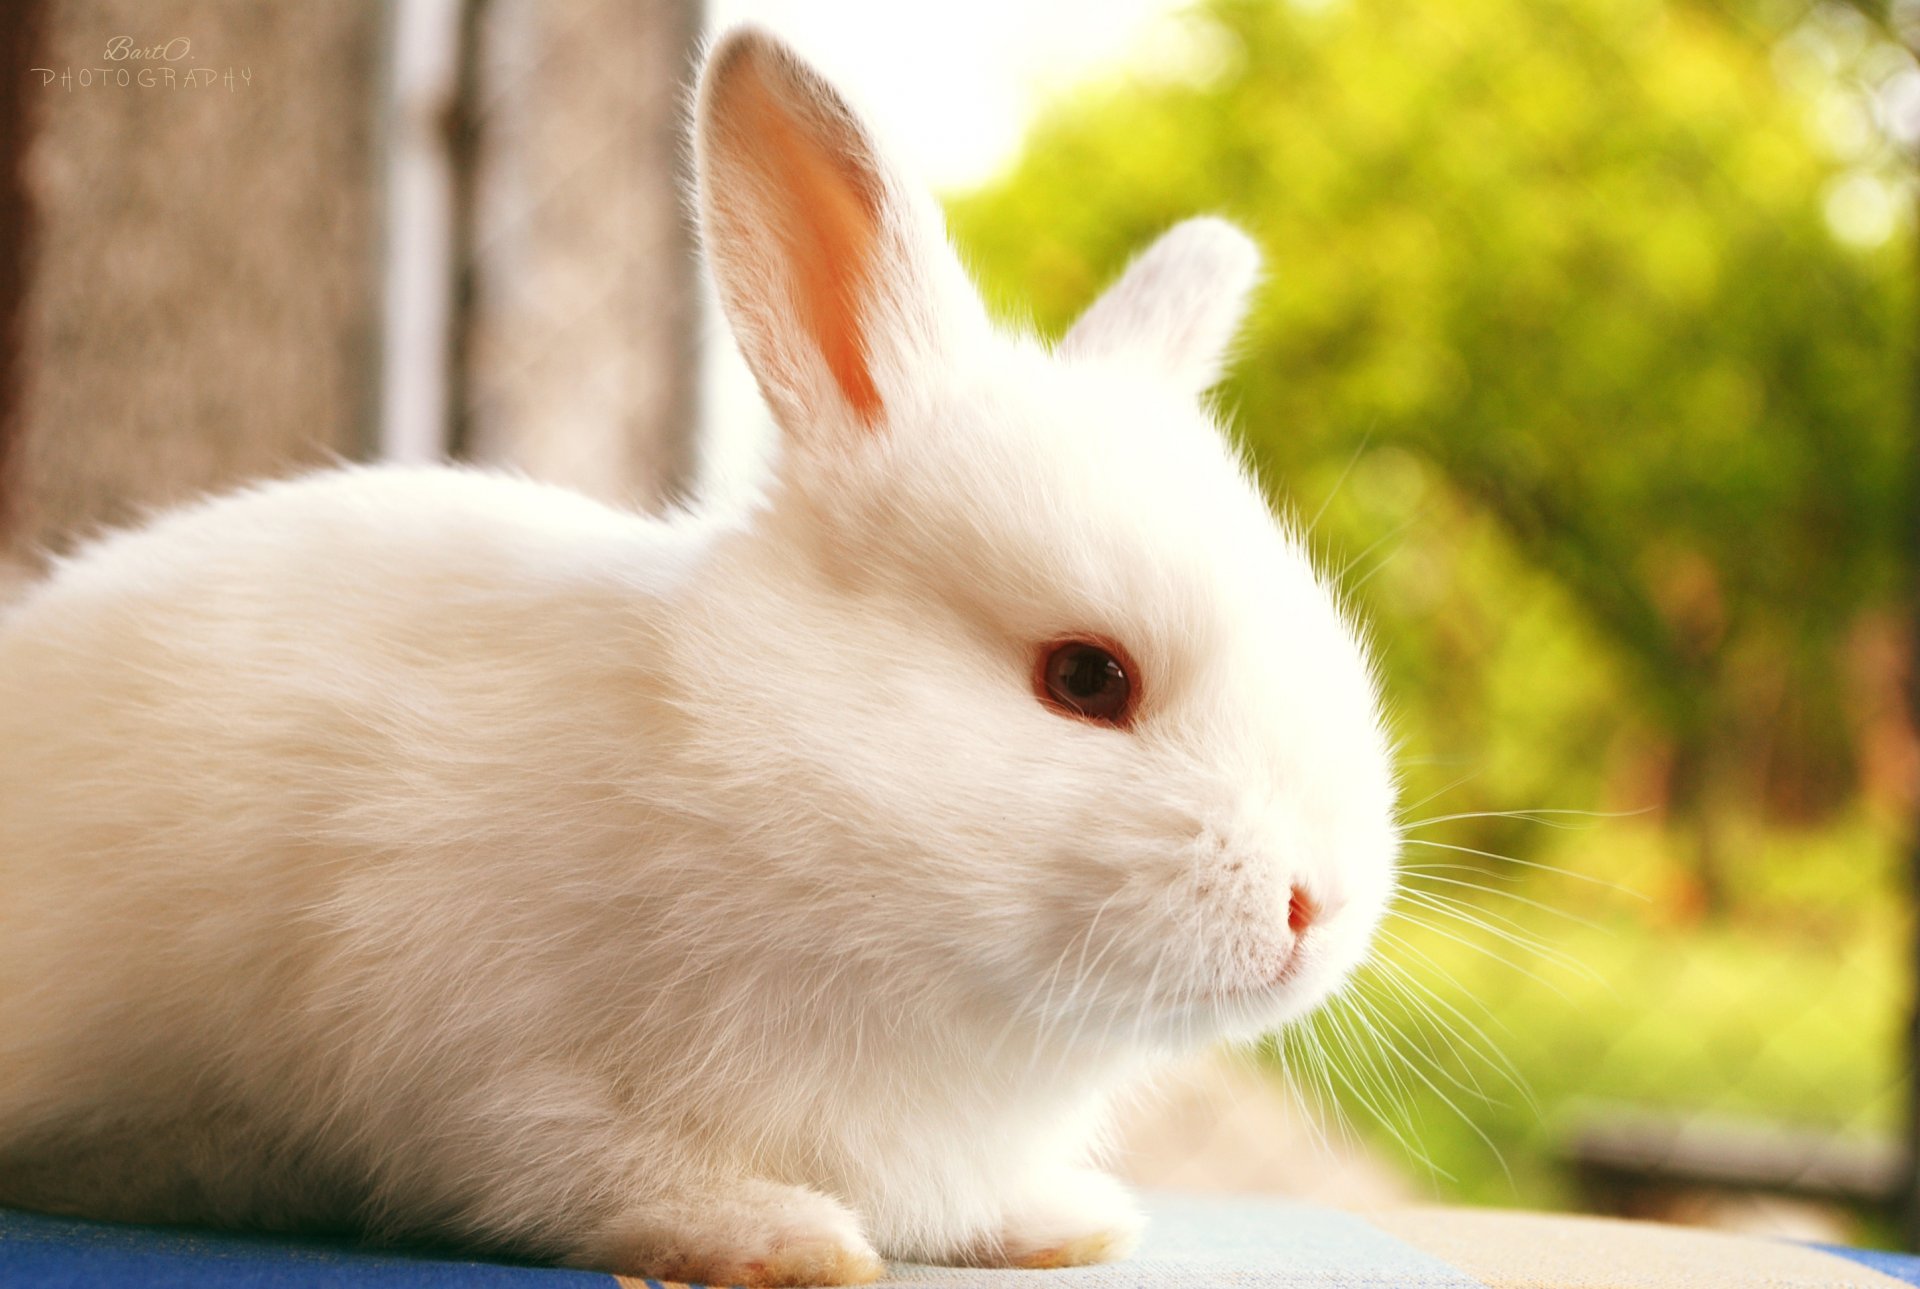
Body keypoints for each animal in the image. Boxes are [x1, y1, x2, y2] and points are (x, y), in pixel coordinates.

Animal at [0, 24, 1399, 1289]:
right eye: (1086, 678)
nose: (1317, 907)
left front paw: (1060, 1221)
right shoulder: (485, 1067)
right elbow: (581, 1171)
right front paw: (781, 1239)